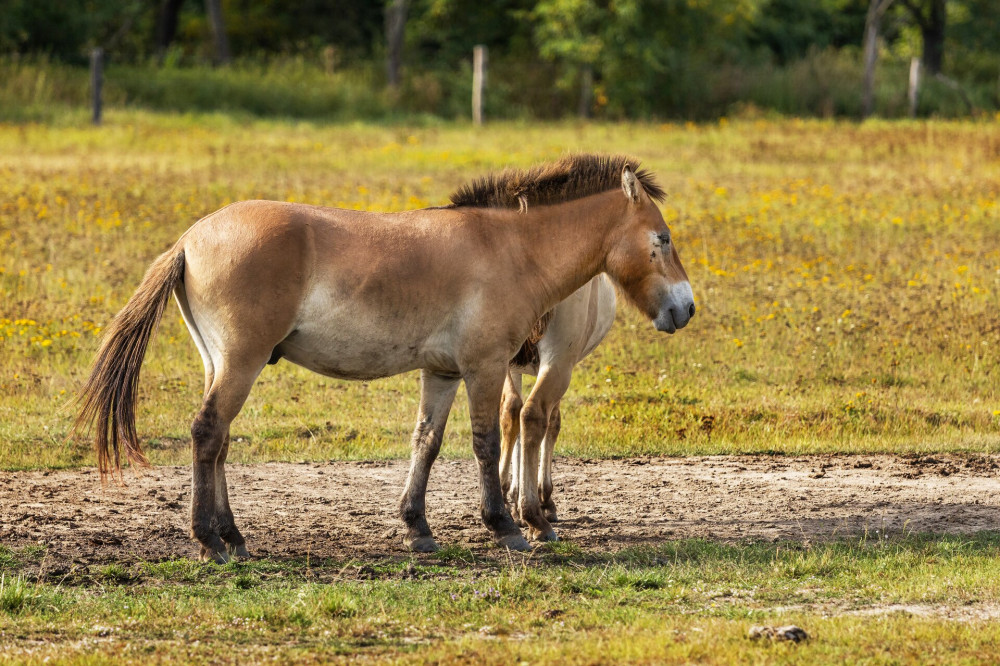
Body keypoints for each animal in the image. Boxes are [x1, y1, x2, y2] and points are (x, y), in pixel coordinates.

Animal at [500, 272, 616, 536]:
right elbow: (552, 423)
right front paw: (544, 501)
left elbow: (515, 422)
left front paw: (515, 503)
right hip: (560, 360)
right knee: (532, 414)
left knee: (512, 410)